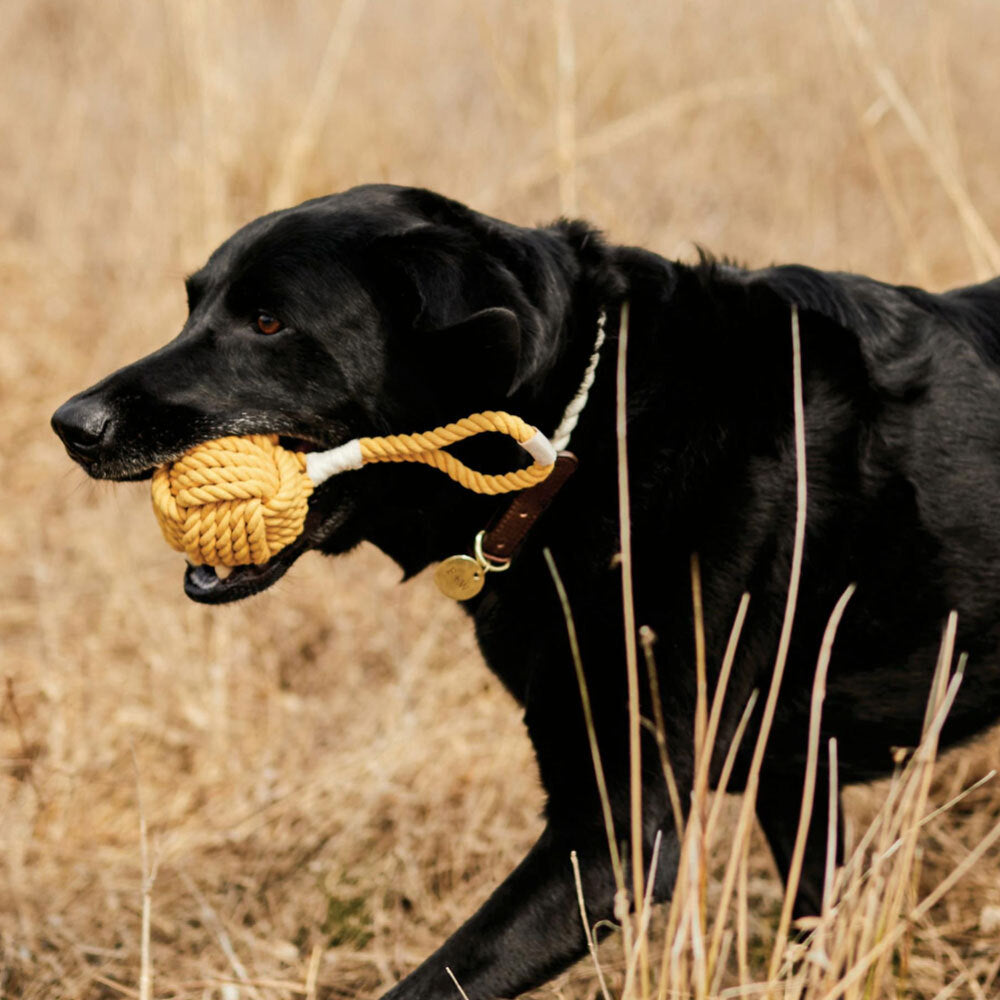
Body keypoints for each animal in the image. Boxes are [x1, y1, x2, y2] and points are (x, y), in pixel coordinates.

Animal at [50, 186, 1000, 1000]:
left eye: (268, 321)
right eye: (193, 306)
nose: (70, 425)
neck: (585, 430)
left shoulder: (614, 835)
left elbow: (432, 983)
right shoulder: (794, 774)